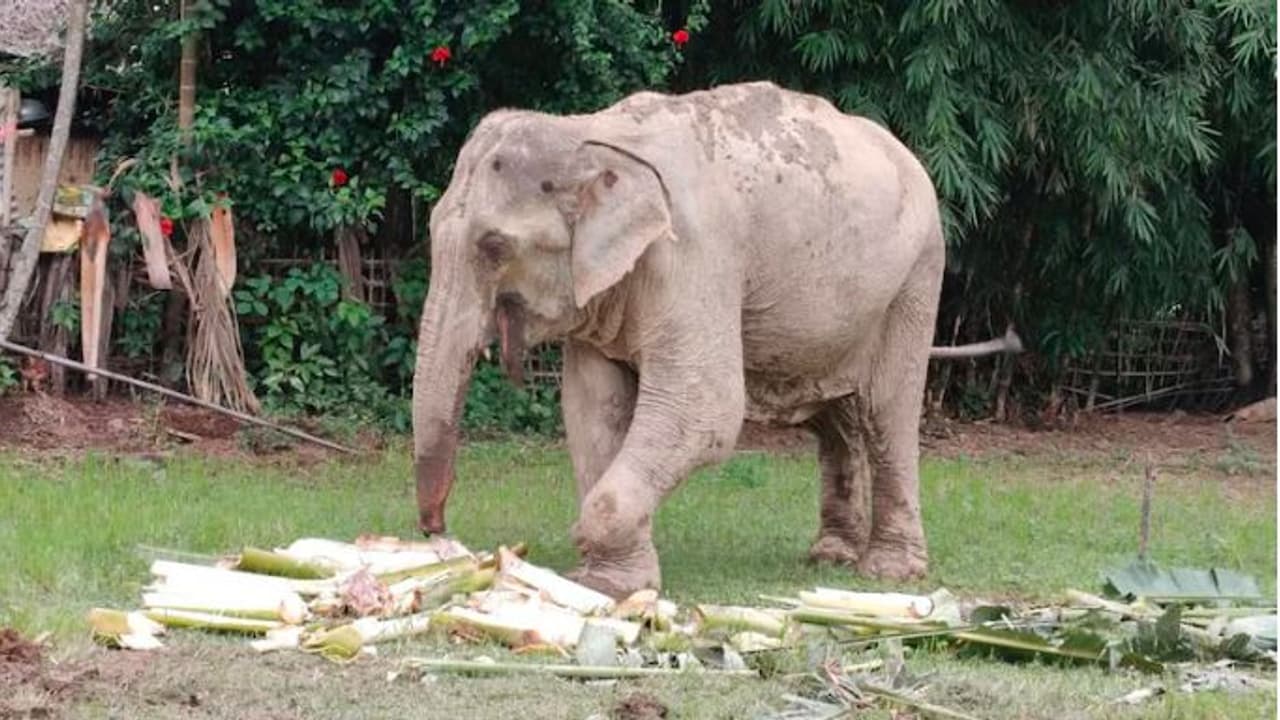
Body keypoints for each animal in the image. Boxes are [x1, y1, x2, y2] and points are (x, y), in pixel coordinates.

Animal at [411, 81, 1020, 599]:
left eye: (492, 247)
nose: (438, 533)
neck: (591, 134)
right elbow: (591, 407)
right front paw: (607, 581)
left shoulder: (696, 257)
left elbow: (705, 409)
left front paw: (598, 575)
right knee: (835, 417)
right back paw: (830, 556)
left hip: (916, 277)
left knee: (885, 410)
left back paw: (888, 571)